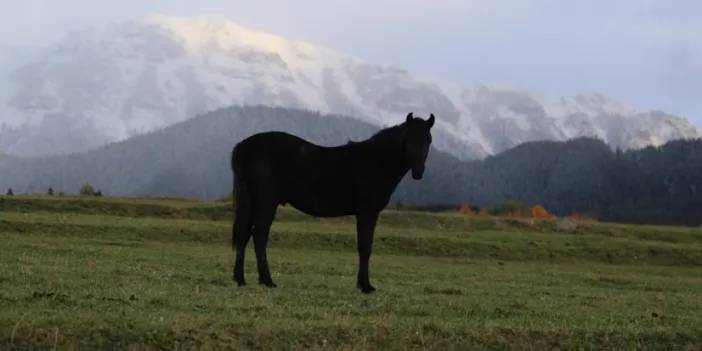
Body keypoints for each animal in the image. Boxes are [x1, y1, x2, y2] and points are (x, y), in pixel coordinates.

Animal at [234, 113, 434, 294]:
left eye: (428, 140)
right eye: (408, 138)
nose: (418, 171)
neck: (375, 162)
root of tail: (244, 146)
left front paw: (362, 284)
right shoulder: (367, 212)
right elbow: (365, 247)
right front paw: (365, 286)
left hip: (251, 201)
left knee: (244, 235)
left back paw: (240, 279)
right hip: (266, 201)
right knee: (259, 235)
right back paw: (267, 281)